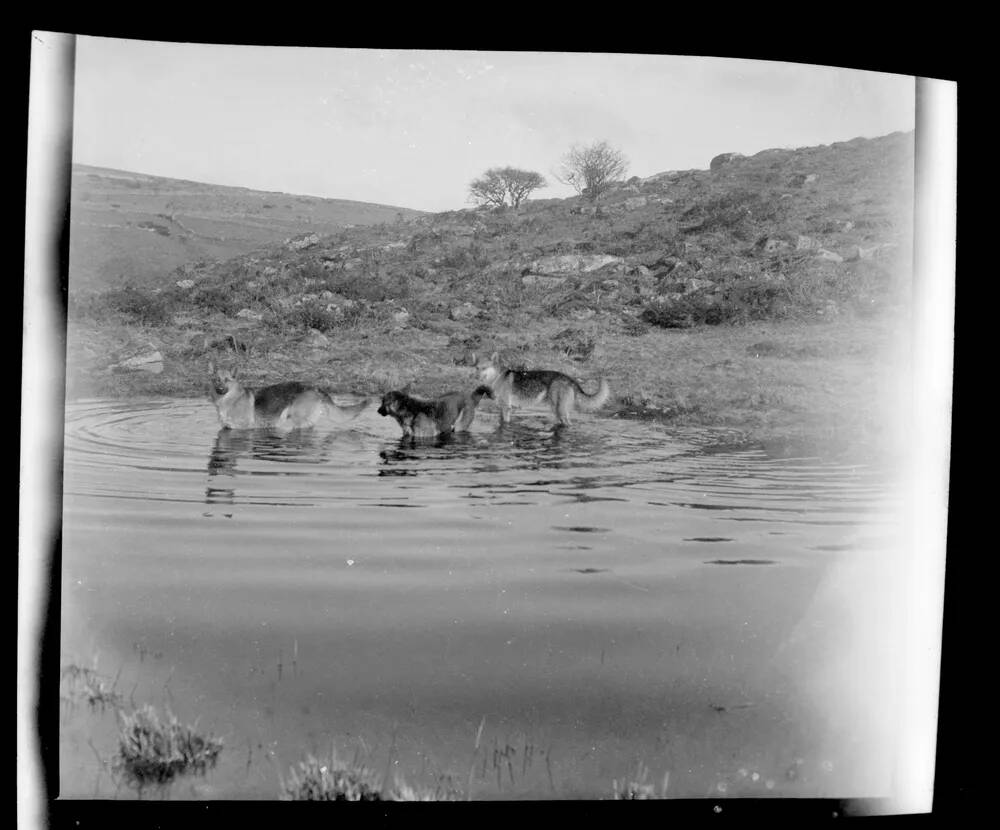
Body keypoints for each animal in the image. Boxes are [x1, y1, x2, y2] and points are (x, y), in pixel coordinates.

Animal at [209, 362, 370, 432]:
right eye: (216, 380)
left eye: (227, 380)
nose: (220, 389)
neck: (230, 400)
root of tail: (315, 387)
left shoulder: (243, 429)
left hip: (300, 422)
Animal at [470, 352, 608, 428]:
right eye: (477, 368)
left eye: (484, 368)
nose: (475, 376)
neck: (498, 377)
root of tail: (569, 379)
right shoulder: (502, 409)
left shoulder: (506, 408)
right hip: (556, 410)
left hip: (560, 411)